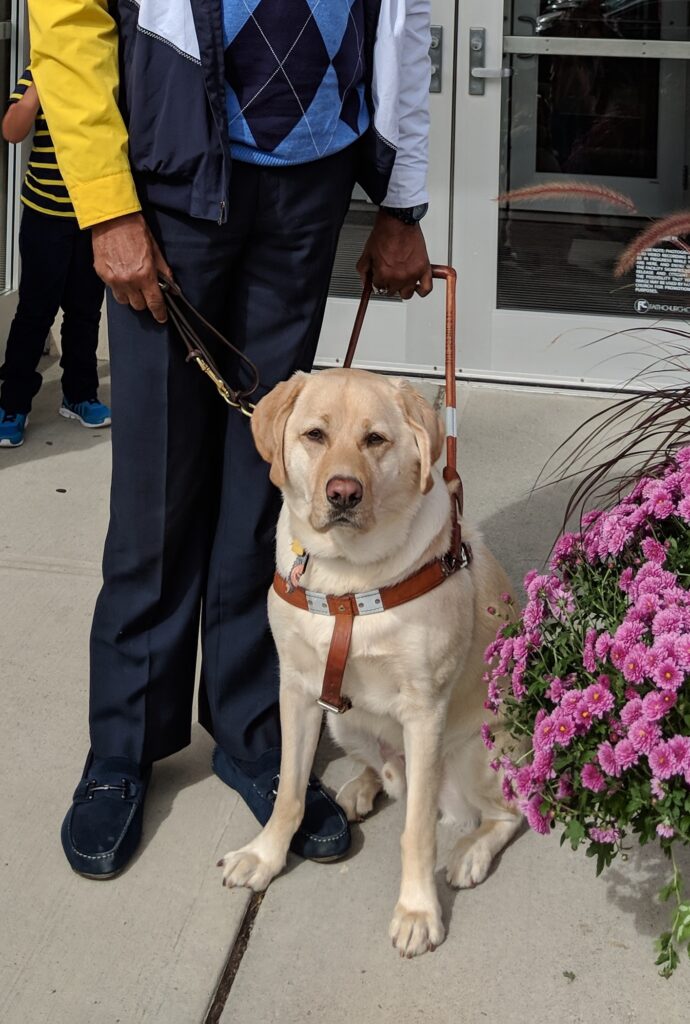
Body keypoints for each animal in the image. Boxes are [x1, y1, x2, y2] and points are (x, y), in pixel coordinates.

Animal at [218, 370, 518, 958]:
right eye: (314, 435)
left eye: (375, 439)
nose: (343, 493)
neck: (347, 578)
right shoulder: (297, 689)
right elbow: (289, 792)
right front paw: (265, 856)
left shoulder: (424, 712)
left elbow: (417, 830)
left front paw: (418, 910)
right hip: (343, 721)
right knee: (379, 767)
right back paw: (361, 784)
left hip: (478, 754)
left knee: (505, 815)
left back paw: (470, 851)